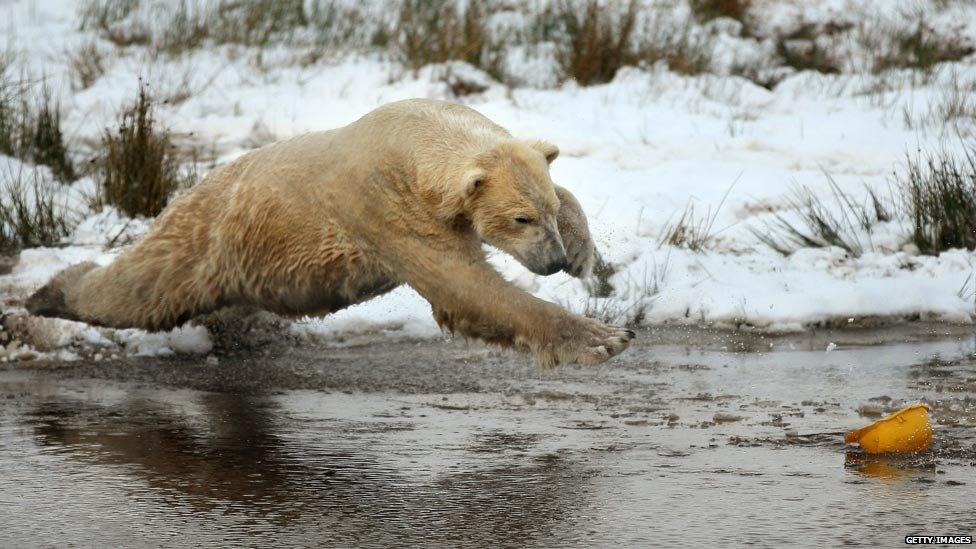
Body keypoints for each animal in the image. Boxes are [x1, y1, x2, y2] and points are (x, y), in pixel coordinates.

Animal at [28, 99, 632, 364]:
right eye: (520, 219)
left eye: (545, 211)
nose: (553, 262)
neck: (413, 137)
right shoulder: (386, 207)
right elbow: (466, 289)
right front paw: (604, 337)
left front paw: (584, 250)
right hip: (203, 239)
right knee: (141, 289)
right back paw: (46, 293)